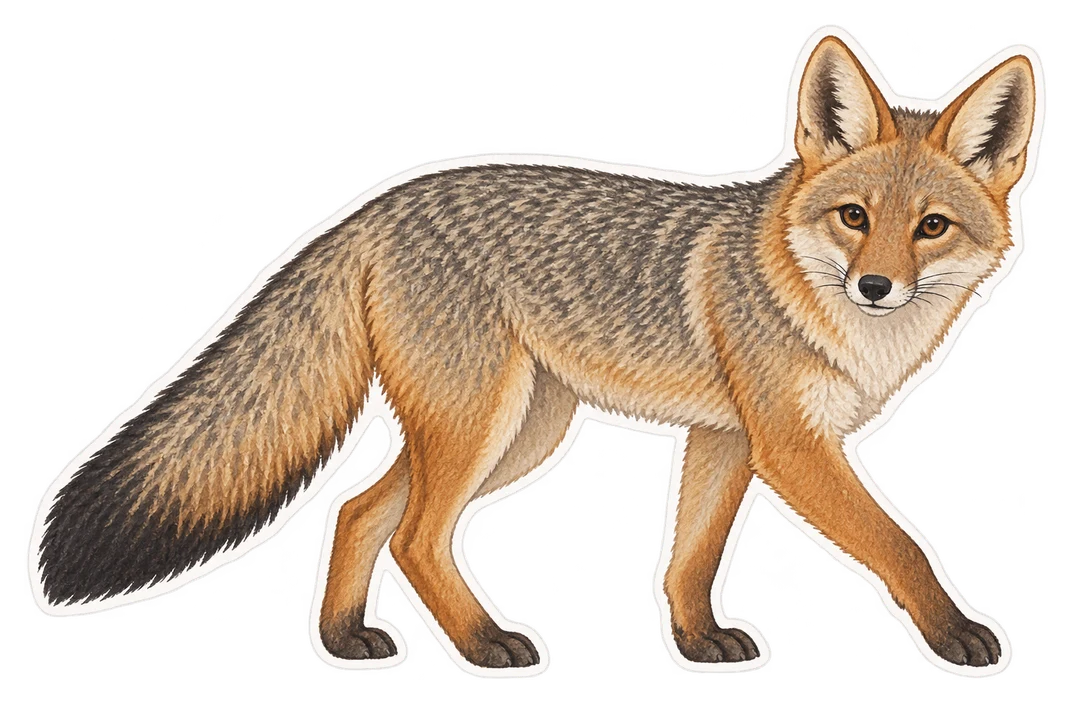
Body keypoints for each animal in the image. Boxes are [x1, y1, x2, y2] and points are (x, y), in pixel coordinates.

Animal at [26, 29, 1043, 678]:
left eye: (932, 228)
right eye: (855, 218)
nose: (875, 287)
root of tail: (372, 208)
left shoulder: (727, 440)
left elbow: (690, 556)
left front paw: (696, 643)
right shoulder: (793, 448)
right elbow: (900, 544)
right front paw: (956, 633)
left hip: (513, 433)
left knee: (357, 511)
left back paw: (348, 640)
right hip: (487, 427)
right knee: (413, 534)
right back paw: (485, 646)